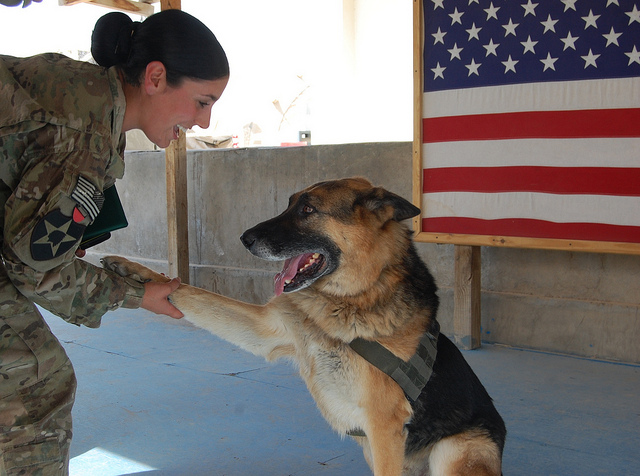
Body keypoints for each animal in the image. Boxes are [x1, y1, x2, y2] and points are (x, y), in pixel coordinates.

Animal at [104, 177, 504, 474]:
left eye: (309, 210)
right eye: (289, 204)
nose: (245, 238)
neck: (349, 300)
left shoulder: (384, 427)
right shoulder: (266, 330)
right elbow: (188, 292)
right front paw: (137, 273)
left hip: (455, 451)